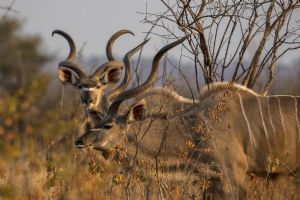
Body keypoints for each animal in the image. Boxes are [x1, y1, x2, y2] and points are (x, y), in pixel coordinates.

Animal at [74, 43, 298, 197]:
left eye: (108, 125)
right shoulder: (212, 181)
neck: (194, 128)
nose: (79, 141)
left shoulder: (235, 175)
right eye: (96, 122)